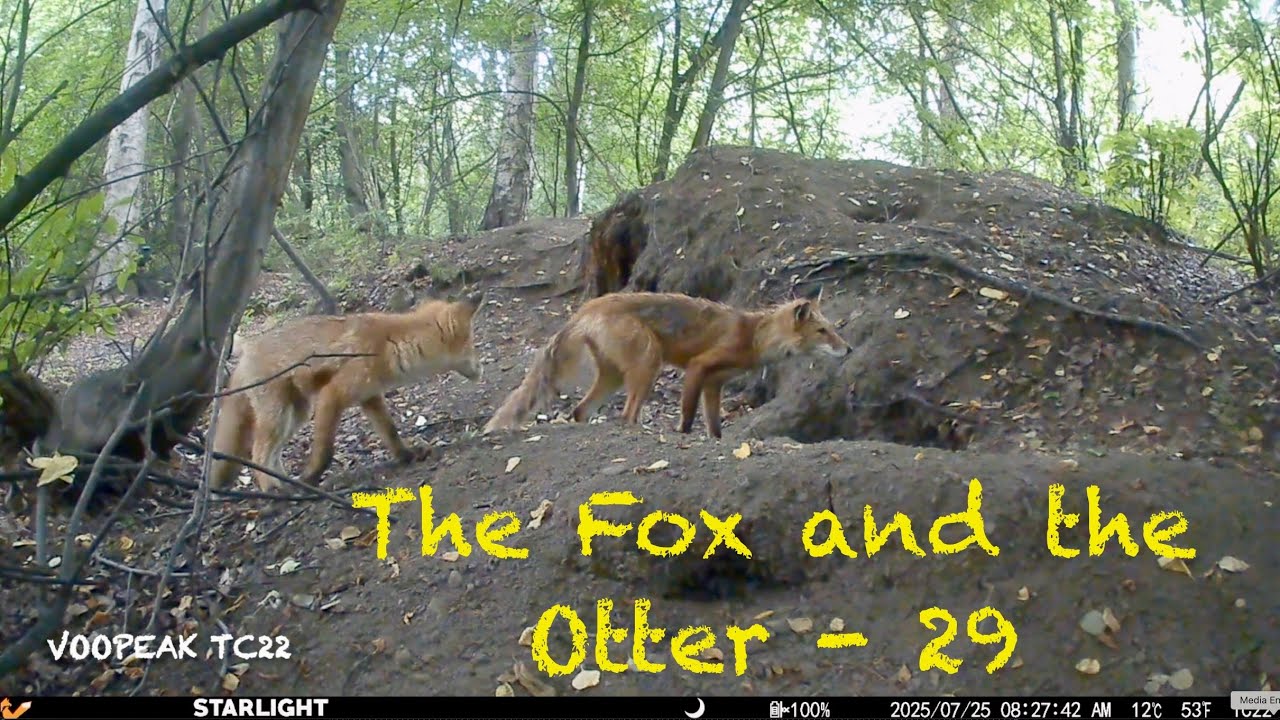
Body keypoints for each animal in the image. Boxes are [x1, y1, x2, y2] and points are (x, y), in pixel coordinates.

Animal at [209, 291, 485, 492]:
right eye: (472, 345)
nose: (481, 370)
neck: (390, 345)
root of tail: (246, 351)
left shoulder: (370, 396)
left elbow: (391, 432)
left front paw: (407, 455)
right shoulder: (332, 395)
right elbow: (325, 452)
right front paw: (311, 477)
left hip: (296, 414)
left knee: (272, 456)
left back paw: (285, 483)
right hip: (278, 415)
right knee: (258, 454)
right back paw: (273, 489)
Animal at [482, 286, 851, 439]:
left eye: (833, 329)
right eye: (822, 331)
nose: (847, 349)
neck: (754, 336)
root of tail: (589, 307)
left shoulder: (715, 384)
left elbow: (715, 426)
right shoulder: (699, 367)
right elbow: (687, 416)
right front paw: (683, 435)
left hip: (614, 377)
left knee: (580, 411)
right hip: (649, 365)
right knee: (626, 415)